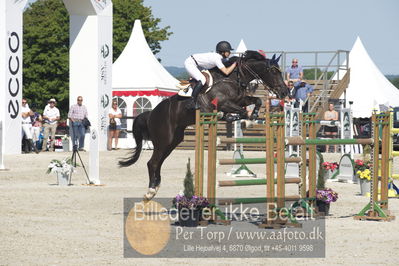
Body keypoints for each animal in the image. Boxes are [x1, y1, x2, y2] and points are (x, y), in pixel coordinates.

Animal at [120, 50, 290, 200]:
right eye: (274, 71)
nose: (285, 92)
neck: (234, 77)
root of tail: (151, 114)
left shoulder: (240, 99)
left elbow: (257, 101)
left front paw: (250, 118)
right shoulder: (224, 103)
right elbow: (240, 110)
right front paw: (239, 118)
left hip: (173, 141)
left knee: (159, 162)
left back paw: (156, 186)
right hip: (164, 140)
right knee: (152, 162)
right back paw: (150, 192)